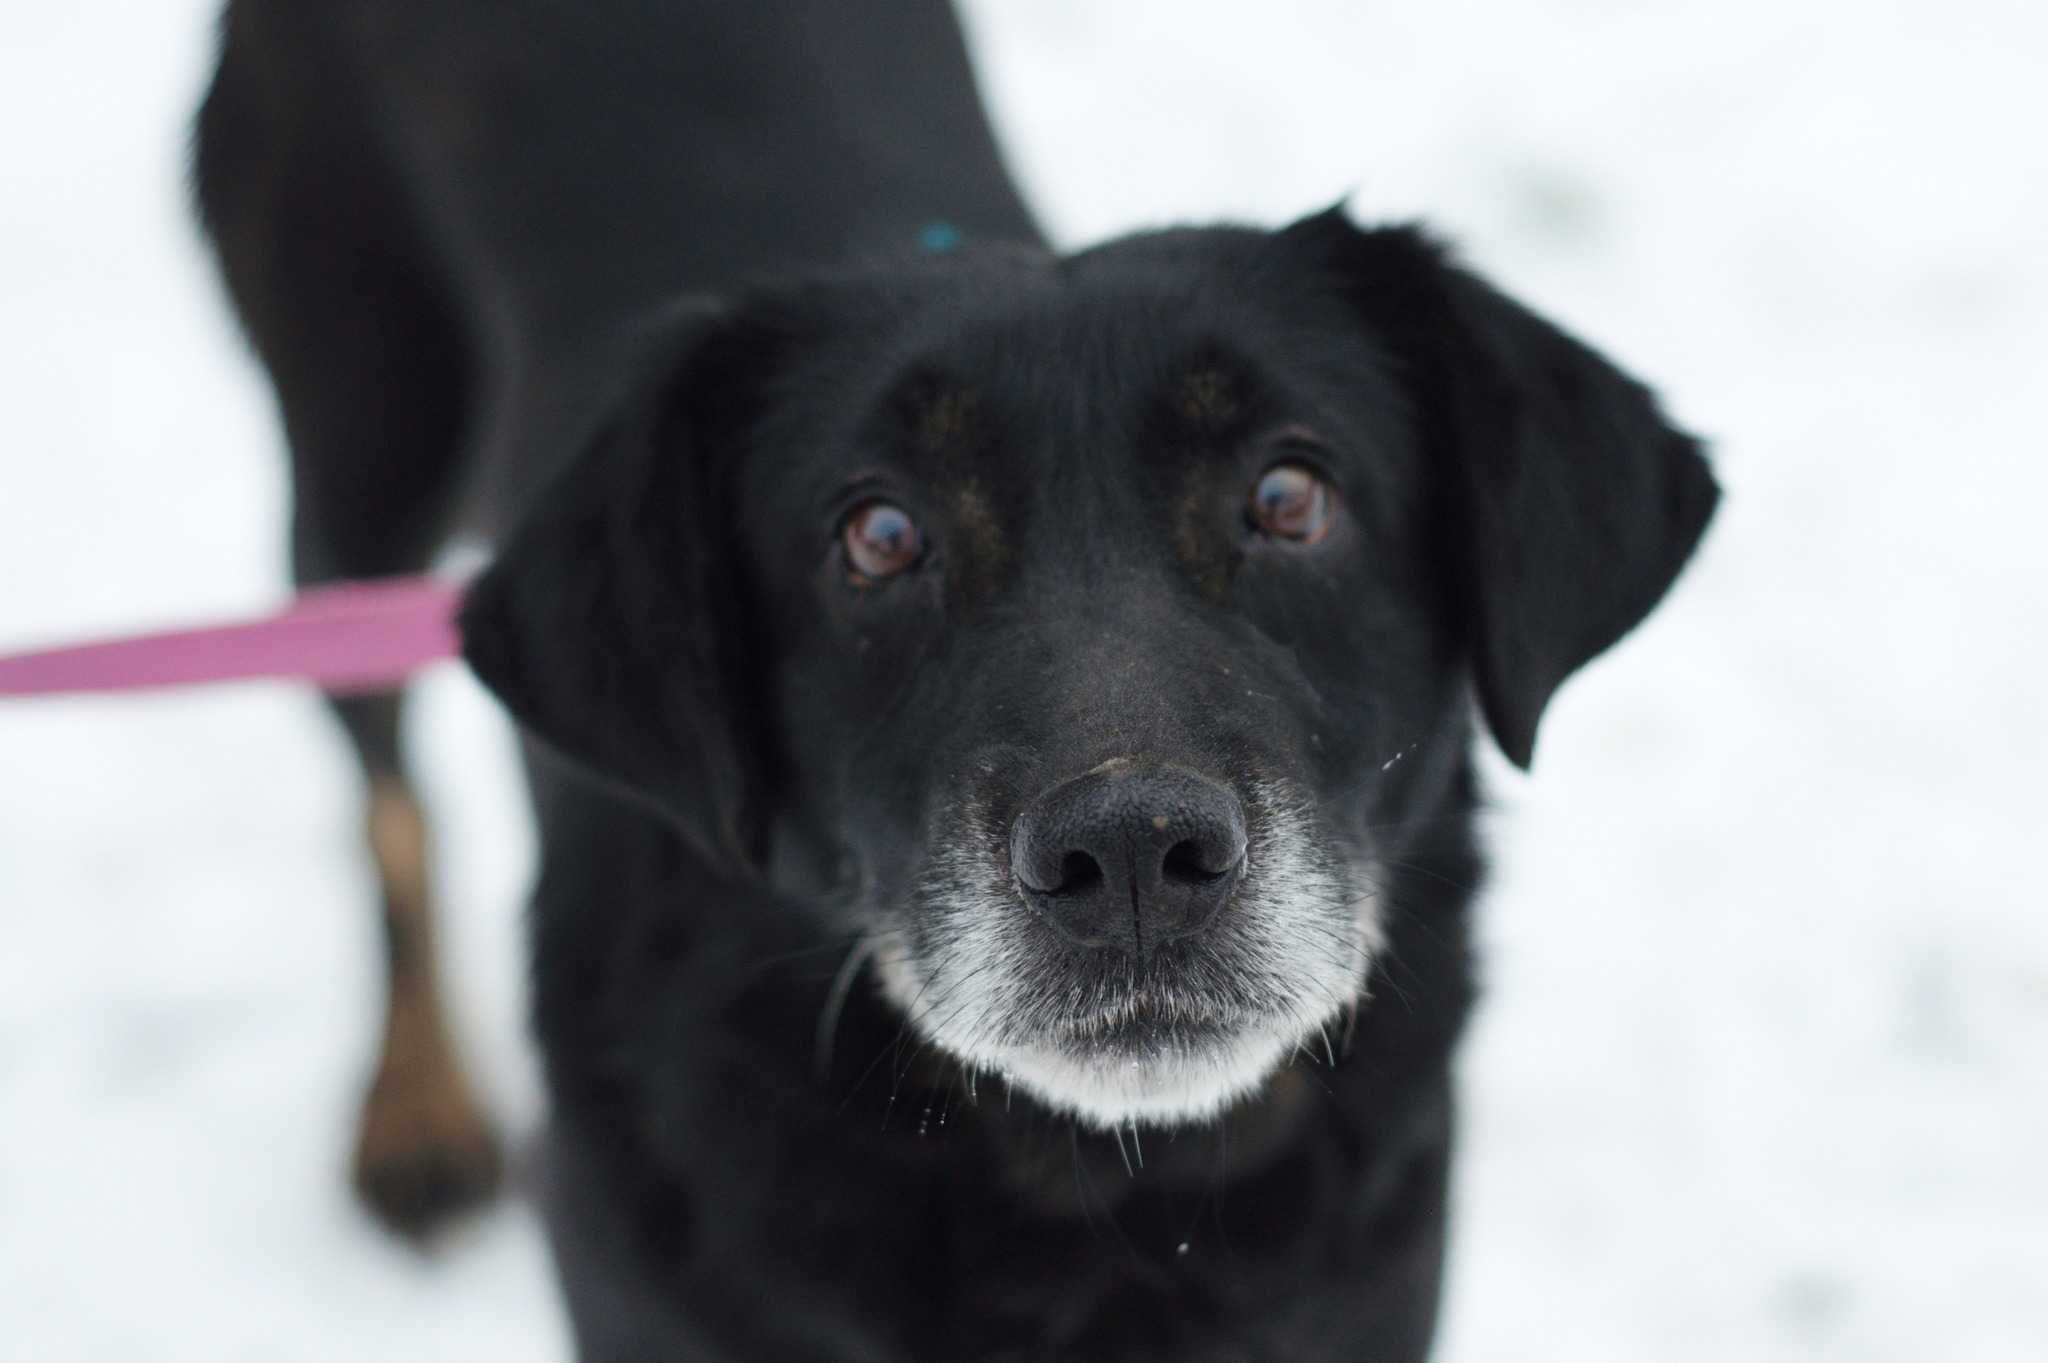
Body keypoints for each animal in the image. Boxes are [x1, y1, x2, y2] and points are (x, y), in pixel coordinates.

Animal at [203, 5, 1712, 1350]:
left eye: (1291, 496)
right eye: (878, 535)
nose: (1132, 850)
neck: (1087, 1206)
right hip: (351, 475)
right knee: (387, 797)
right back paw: (416, 1111)